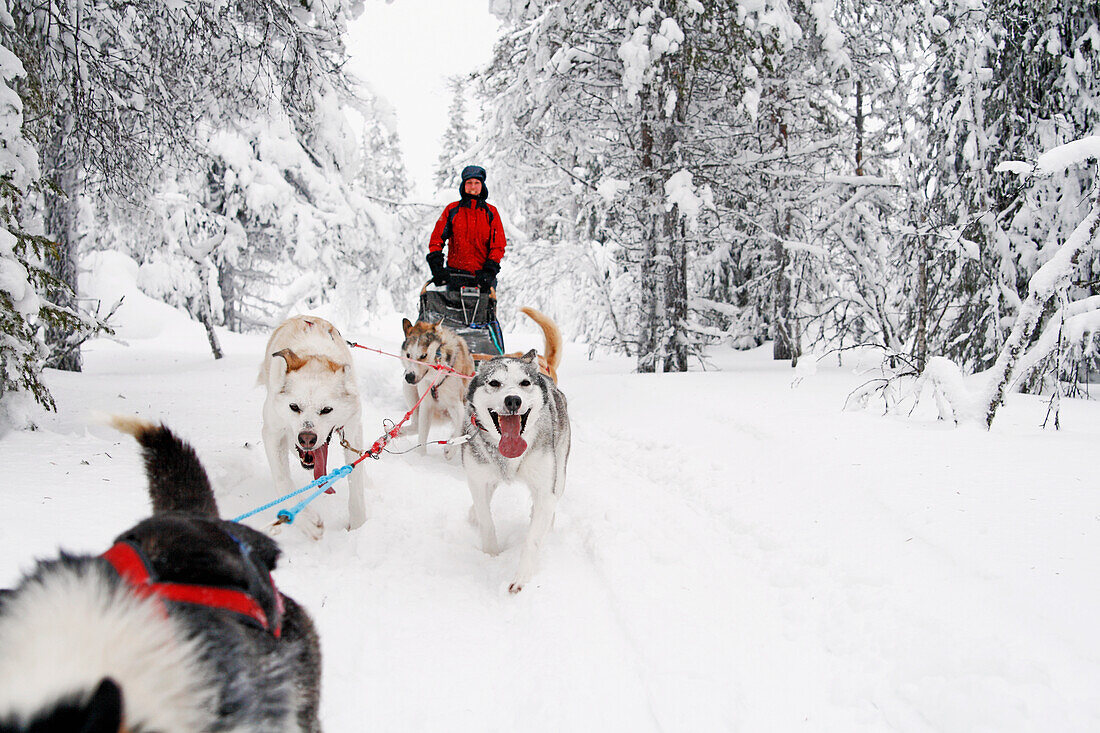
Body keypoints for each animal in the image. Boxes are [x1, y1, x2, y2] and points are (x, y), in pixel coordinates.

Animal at [259, 314, 367, 537]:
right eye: (294, 406)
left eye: (326, 409)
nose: (307, 438)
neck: (316, 356)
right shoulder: (273, 432)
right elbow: (282, 480)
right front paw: (307, 521)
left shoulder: (352, 428)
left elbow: (356, 480)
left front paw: (359, 525)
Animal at [402, 316, 475, 453]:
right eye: (408, 355)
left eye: (423, 355)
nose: (409, 376)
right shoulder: (426, 405)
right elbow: (422, 436)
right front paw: (420, 456)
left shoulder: (457, 406)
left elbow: (459, 427)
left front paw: (451, 449)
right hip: (408, 389)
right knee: (416, 425)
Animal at [462, 316, 572, 589]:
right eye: (494, 383)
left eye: (525, 383)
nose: (513, 400)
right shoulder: (477, 480)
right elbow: (486, 520)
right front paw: (490, 555)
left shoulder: (545, 488)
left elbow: (533, 537)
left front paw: (521, 578)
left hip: (560, 474)